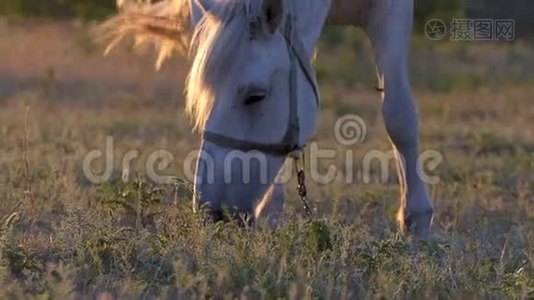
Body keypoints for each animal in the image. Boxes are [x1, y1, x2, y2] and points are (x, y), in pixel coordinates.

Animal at [99, 0, 436, 239]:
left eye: (255, 96)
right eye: (203, 98)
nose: (212, 213)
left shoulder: (391, 9)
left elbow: (399, 115)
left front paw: (417, 220)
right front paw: (269, 210)